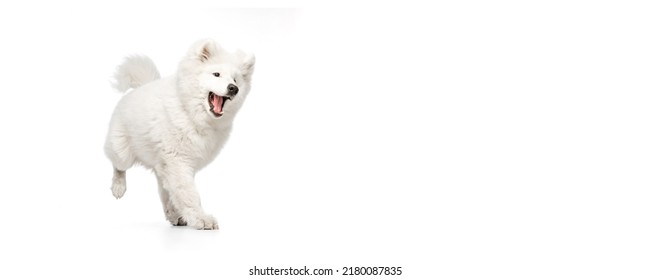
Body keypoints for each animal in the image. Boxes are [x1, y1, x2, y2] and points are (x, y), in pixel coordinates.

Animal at [103, 40, 253, 230]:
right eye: (216, 74)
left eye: (235, 79)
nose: (234, 88)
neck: (191, 113)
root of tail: (139, 88)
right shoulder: (178, 161)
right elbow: (189, 193)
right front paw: (201, 219)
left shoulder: (177, 163)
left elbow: (179, 192)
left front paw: (189, 216)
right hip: (122, 151)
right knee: (118, 166)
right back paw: (118, 187)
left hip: (160, 166)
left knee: (165, 190)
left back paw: (174, 215)